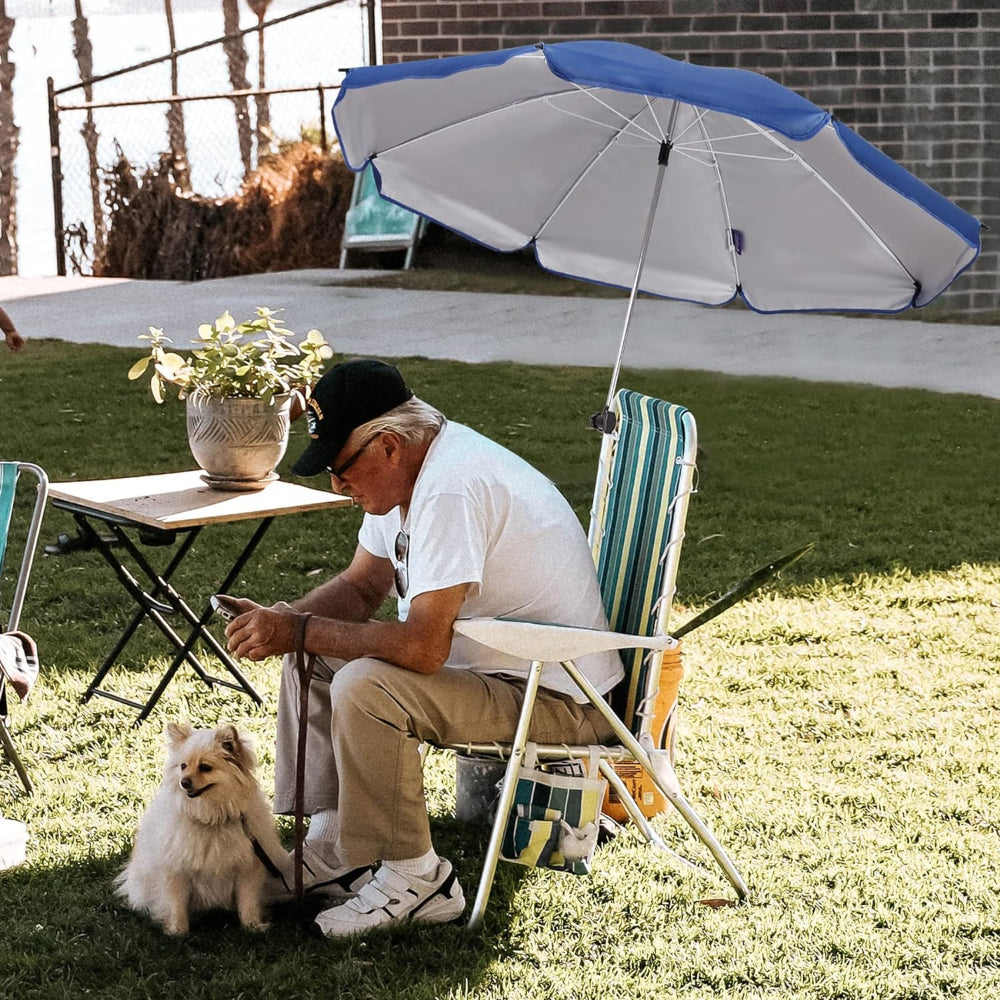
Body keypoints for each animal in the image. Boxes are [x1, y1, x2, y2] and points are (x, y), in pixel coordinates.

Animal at [119, 724, 290, 932]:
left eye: (205, 767)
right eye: (183, 766)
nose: (184, 782)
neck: (211, 817)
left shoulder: (248, 867)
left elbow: (247, 900)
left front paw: (252, 926)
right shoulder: (176, 869)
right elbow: (177, 904)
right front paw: (178, 931)